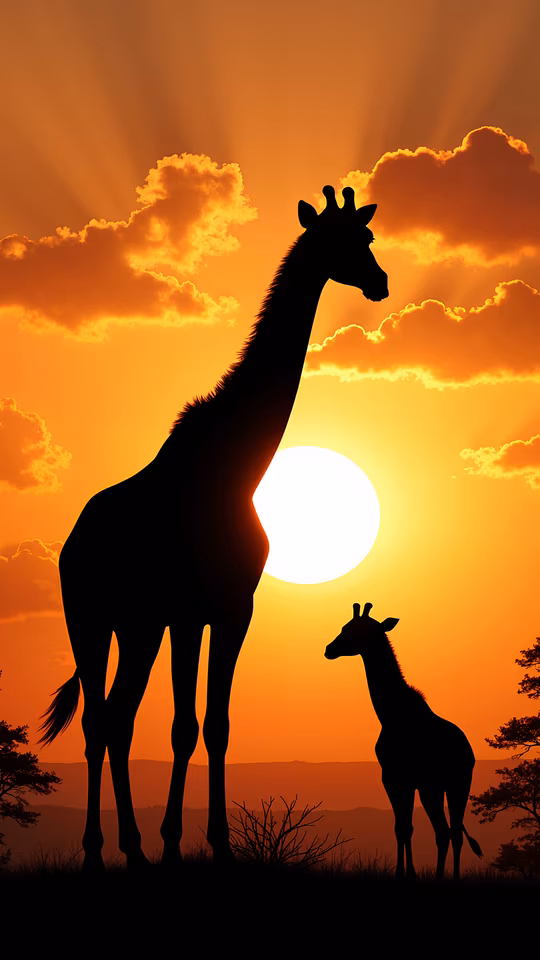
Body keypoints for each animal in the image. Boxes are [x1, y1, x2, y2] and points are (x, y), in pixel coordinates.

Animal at [39, 186, 388, 872]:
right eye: (347, 242)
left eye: (366, 238)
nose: (381, 283)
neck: (238, 467)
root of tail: (72, 543)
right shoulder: (203, 609)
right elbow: (191, 725)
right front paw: (192, 844)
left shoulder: (213, 609)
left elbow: (206, 723)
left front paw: (197, 845)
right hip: (89, 619)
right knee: (100, 720)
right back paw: (102, 851)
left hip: (133, 625)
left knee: (114, 718)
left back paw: (128, 849)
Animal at [325, 603, 483, 880]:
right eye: (345, 627)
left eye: (354, 630)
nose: (329, 649)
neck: (390, 714)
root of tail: (468, 751)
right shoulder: (400, 779)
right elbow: (404, 827)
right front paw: (408, 873)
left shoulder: (402, 778)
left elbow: (405, 827)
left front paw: (407, 873)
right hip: (444, 786)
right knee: (449, 831)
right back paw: (446, 877)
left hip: (450, 784)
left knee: (448, 832)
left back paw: (445, 877)